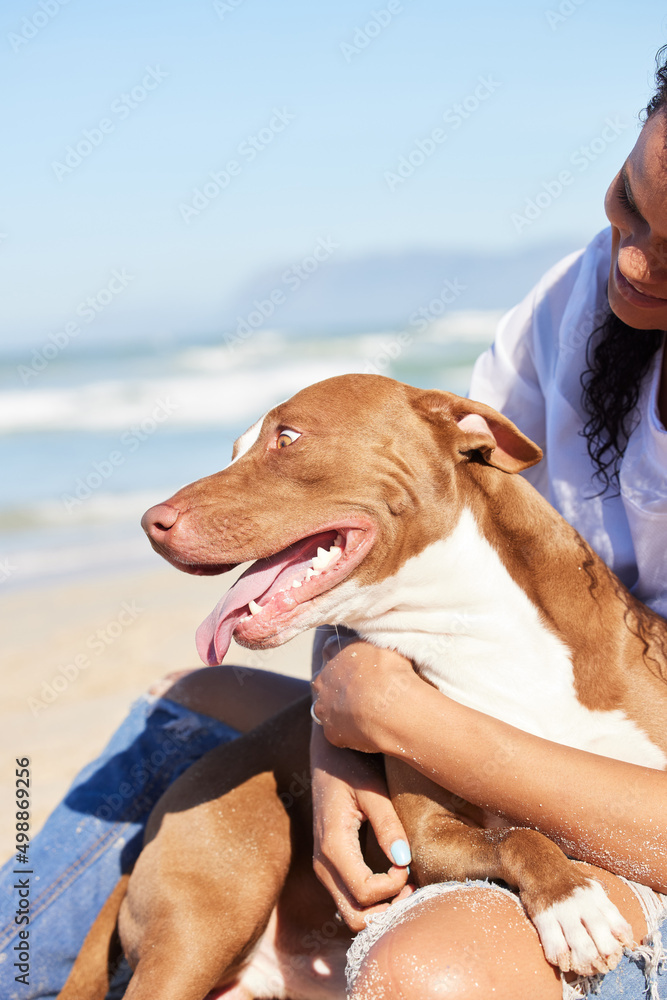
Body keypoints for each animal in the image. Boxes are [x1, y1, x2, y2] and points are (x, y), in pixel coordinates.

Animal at [57, 374, 667, 1000]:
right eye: (235, 451)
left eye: (287, 437)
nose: (150, 521)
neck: (478, 627)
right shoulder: (428, 839)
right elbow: (517, 836)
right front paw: (572, 902)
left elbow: (519, 829)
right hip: (204, 917)